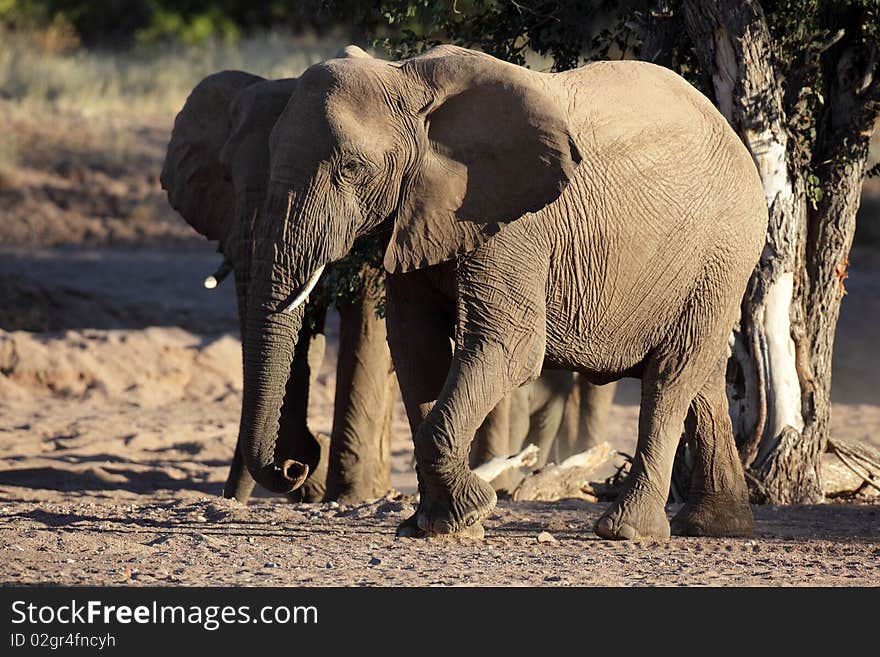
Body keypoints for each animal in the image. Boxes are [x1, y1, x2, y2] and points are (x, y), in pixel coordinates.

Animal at [237, 42, 768, 540]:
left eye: (351, 168)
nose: (294, 465)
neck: (409, 81)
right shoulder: (420, 213)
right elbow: (416, 348)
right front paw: (435, 525)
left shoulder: (511, 222)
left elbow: (509, 346)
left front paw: (468, 512)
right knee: (701, 379)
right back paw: (716, 526)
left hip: (721, 250)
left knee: (671, 375)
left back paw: (627, 530)